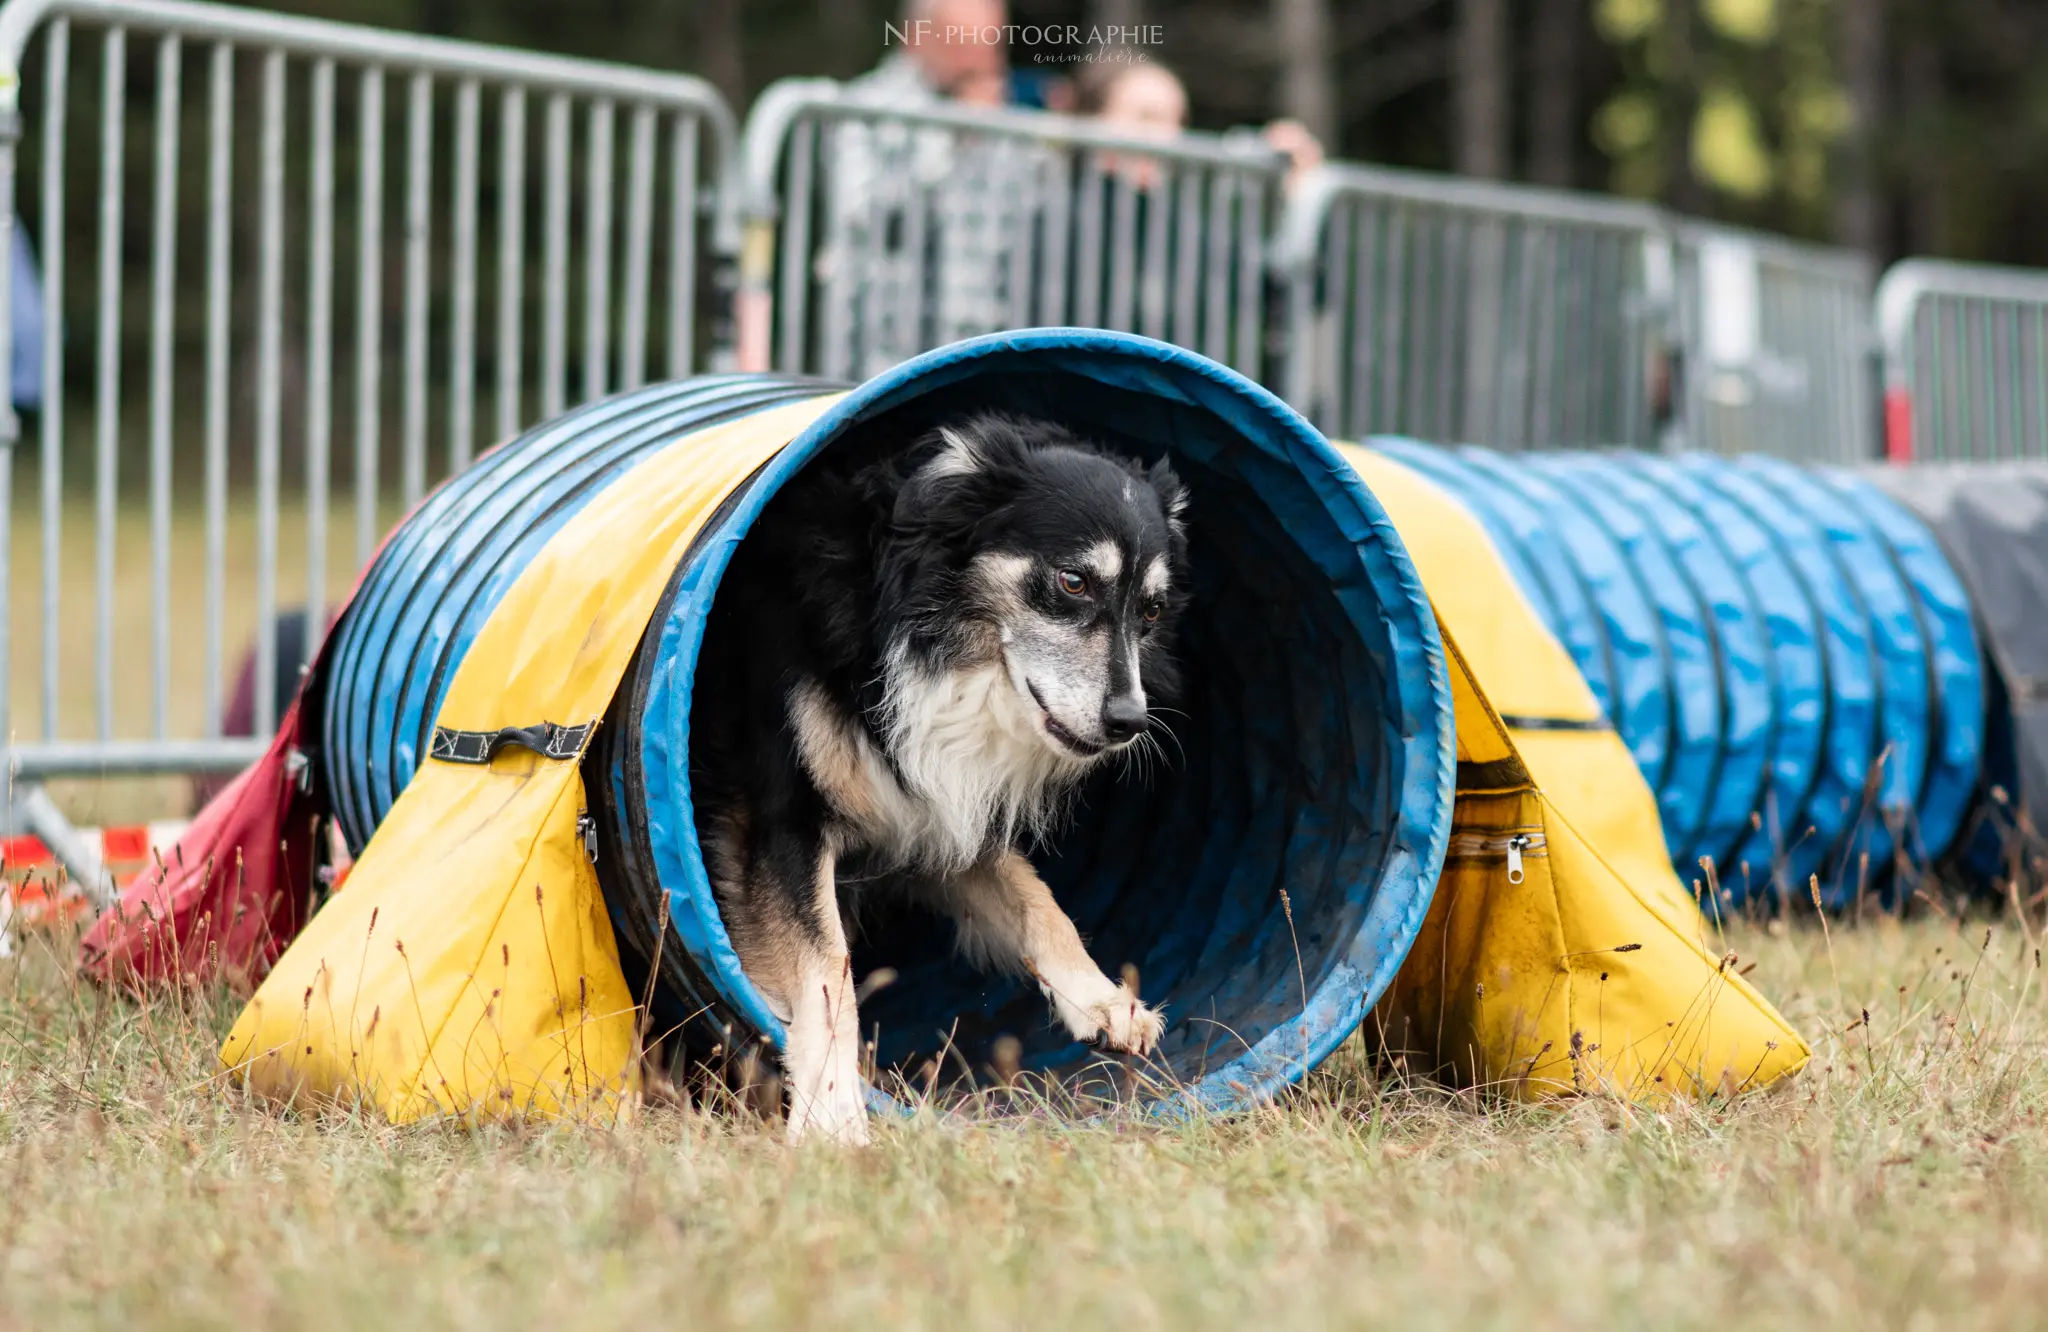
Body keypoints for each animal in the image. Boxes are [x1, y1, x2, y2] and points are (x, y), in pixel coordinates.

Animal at [696, 409, 1196, 1139]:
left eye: (1152, 610)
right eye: (1073, 582)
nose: (1130, 721)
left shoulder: (941, 810)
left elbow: (1038, 901)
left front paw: (1107, 1001)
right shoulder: (781, 825)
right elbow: (828, 969)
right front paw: (833, 1115)